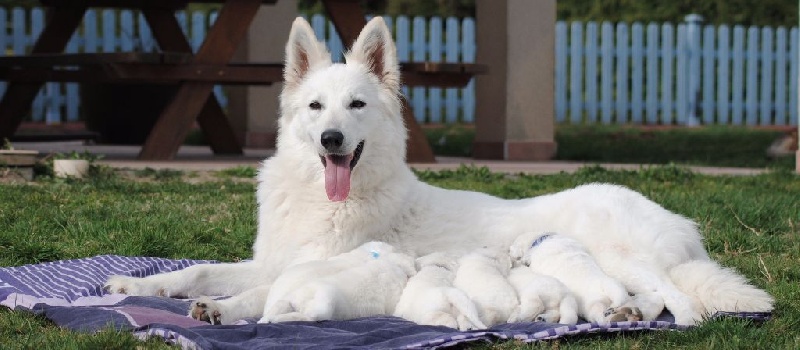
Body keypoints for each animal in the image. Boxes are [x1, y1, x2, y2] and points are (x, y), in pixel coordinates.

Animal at [510, 232, 652, 326]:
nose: (509, 252)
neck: (542, 239)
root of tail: (604, 285)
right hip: (616, 300)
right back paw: (630, 314)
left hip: (595, 305)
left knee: (604, 320)